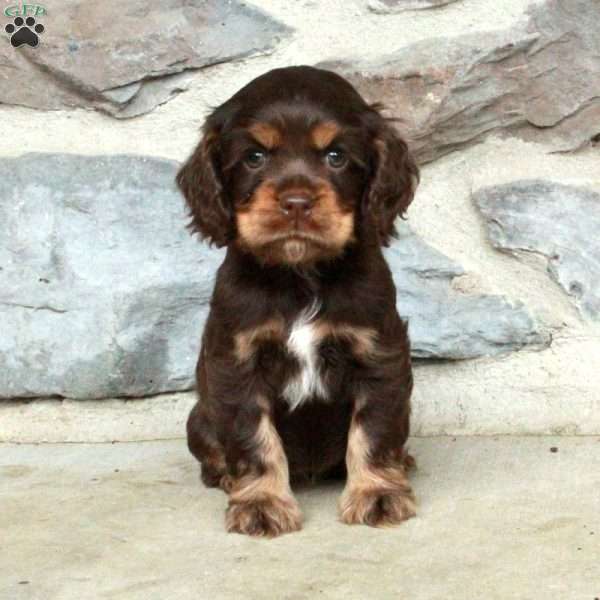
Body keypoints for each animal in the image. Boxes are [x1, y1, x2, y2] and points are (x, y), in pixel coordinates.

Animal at [176, 65, 420, 540]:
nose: (296, 202)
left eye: (336, 156)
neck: (300, 276)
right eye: (254, 157)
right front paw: (260, 503)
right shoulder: (237, 364)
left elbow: (373, 431)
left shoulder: (379, 356)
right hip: (198, 419)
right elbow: (255, 440)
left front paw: (378, 494)